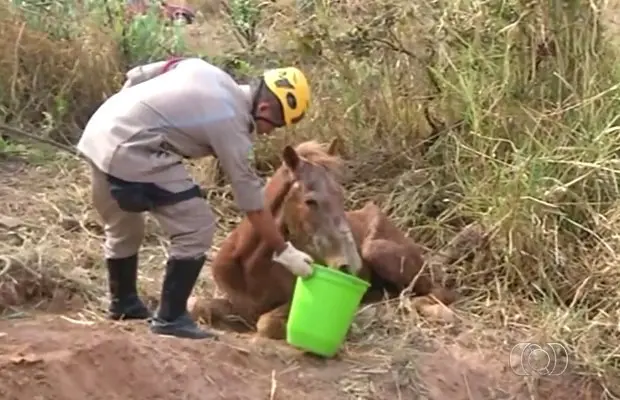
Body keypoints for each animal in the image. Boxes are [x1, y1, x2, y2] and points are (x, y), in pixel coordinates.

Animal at [189, 139, 484, 340]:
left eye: (341, 196)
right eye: (310, 201)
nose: (351, 264)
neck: (252, 267)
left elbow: (266, 323)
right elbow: (197, 306)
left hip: (379, 250)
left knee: (436, 293)